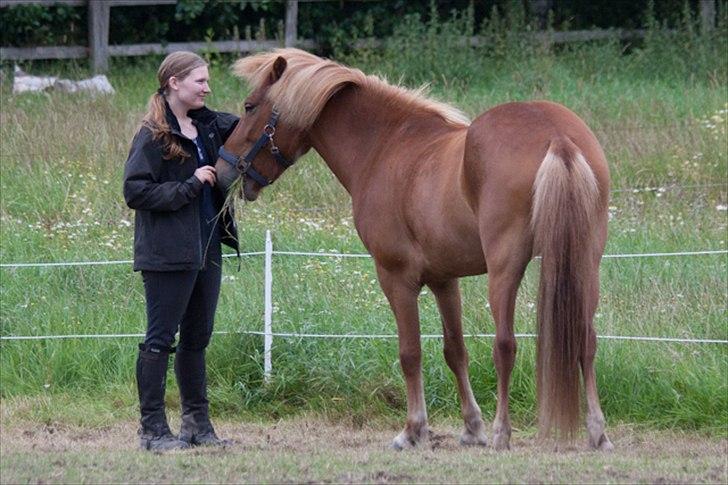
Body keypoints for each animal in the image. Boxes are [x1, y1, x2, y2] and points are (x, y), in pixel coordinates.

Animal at [218, 49, 616, 450]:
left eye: (249, 106)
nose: (223, 170)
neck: (385, 145)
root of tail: (557, 137)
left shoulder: (396, 278)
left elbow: (411, 353)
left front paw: (413, 429)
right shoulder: (444, 280)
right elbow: (455, 351)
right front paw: (471, 427)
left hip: (506, 269)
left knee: (505, 345)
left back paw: (503, 432)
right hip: (585, 264)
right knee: (586, 340)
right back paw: (596, 431)